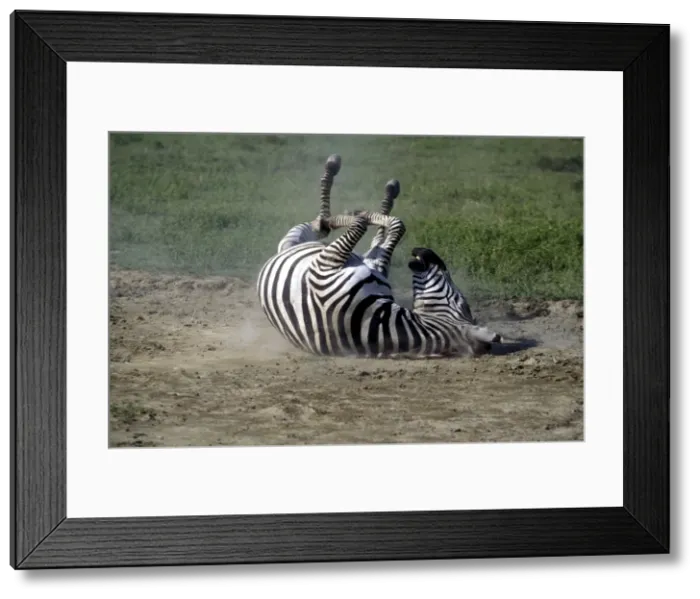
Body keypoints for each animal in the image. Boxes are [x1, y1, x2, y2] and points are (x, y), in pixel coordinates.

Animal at [256, 154, 502, 358]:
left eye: (462, 303)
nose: (425, 252)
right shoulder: (373, 266)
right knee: (370, 239)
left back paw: (329, 197)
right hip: (339, 253)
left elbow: (374, 224)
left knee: (318, 227)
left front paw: (355, 214)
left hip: (300, 241)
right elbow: (392, 228)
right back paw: (382, 192)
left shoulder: (324, 267)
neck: (376, 323)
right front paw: (362, 212)